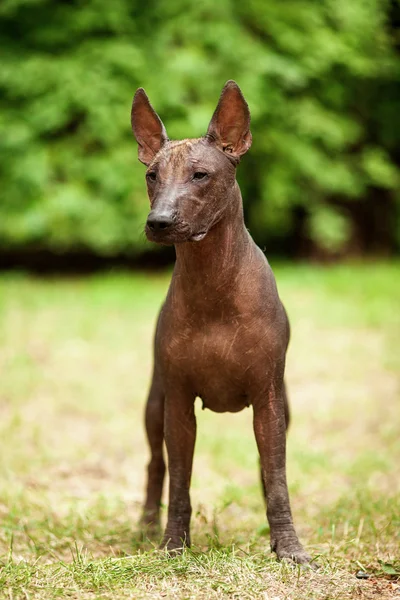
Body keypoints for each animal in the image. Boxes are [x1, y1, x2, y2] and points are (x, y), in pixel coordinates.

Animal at [131, 82, 312, 564]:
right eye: (151, 175)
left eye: (200, 175)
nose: (159, 222)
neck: (213, 281)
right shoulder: (178, 402)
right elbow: (179, 480)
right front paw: (173, 543)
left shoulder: (268, 401)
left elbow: (277, 479)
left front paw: (288, 546)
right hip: (154, 404)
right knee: (155, 464)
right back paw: (146, 526)